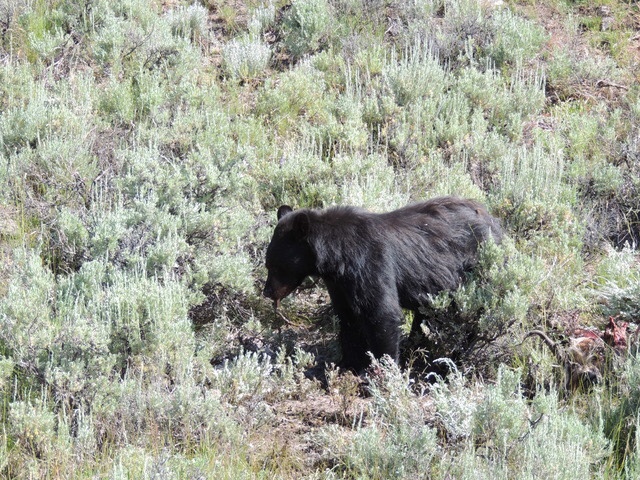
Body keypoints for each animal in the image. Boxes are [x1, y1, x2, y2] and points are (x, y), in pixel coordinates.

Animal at [263, 196, 503, 372]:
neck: (337, 255)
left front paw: (383, 371)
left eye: (274, 265)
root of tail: (493, 220)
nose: (267, 292)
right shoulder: (339, 283)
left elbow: (381, 312)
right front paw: (346, 364)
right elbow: (348, 318)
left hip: (477, 270)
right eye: (268, 263)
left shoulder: (371, 261)